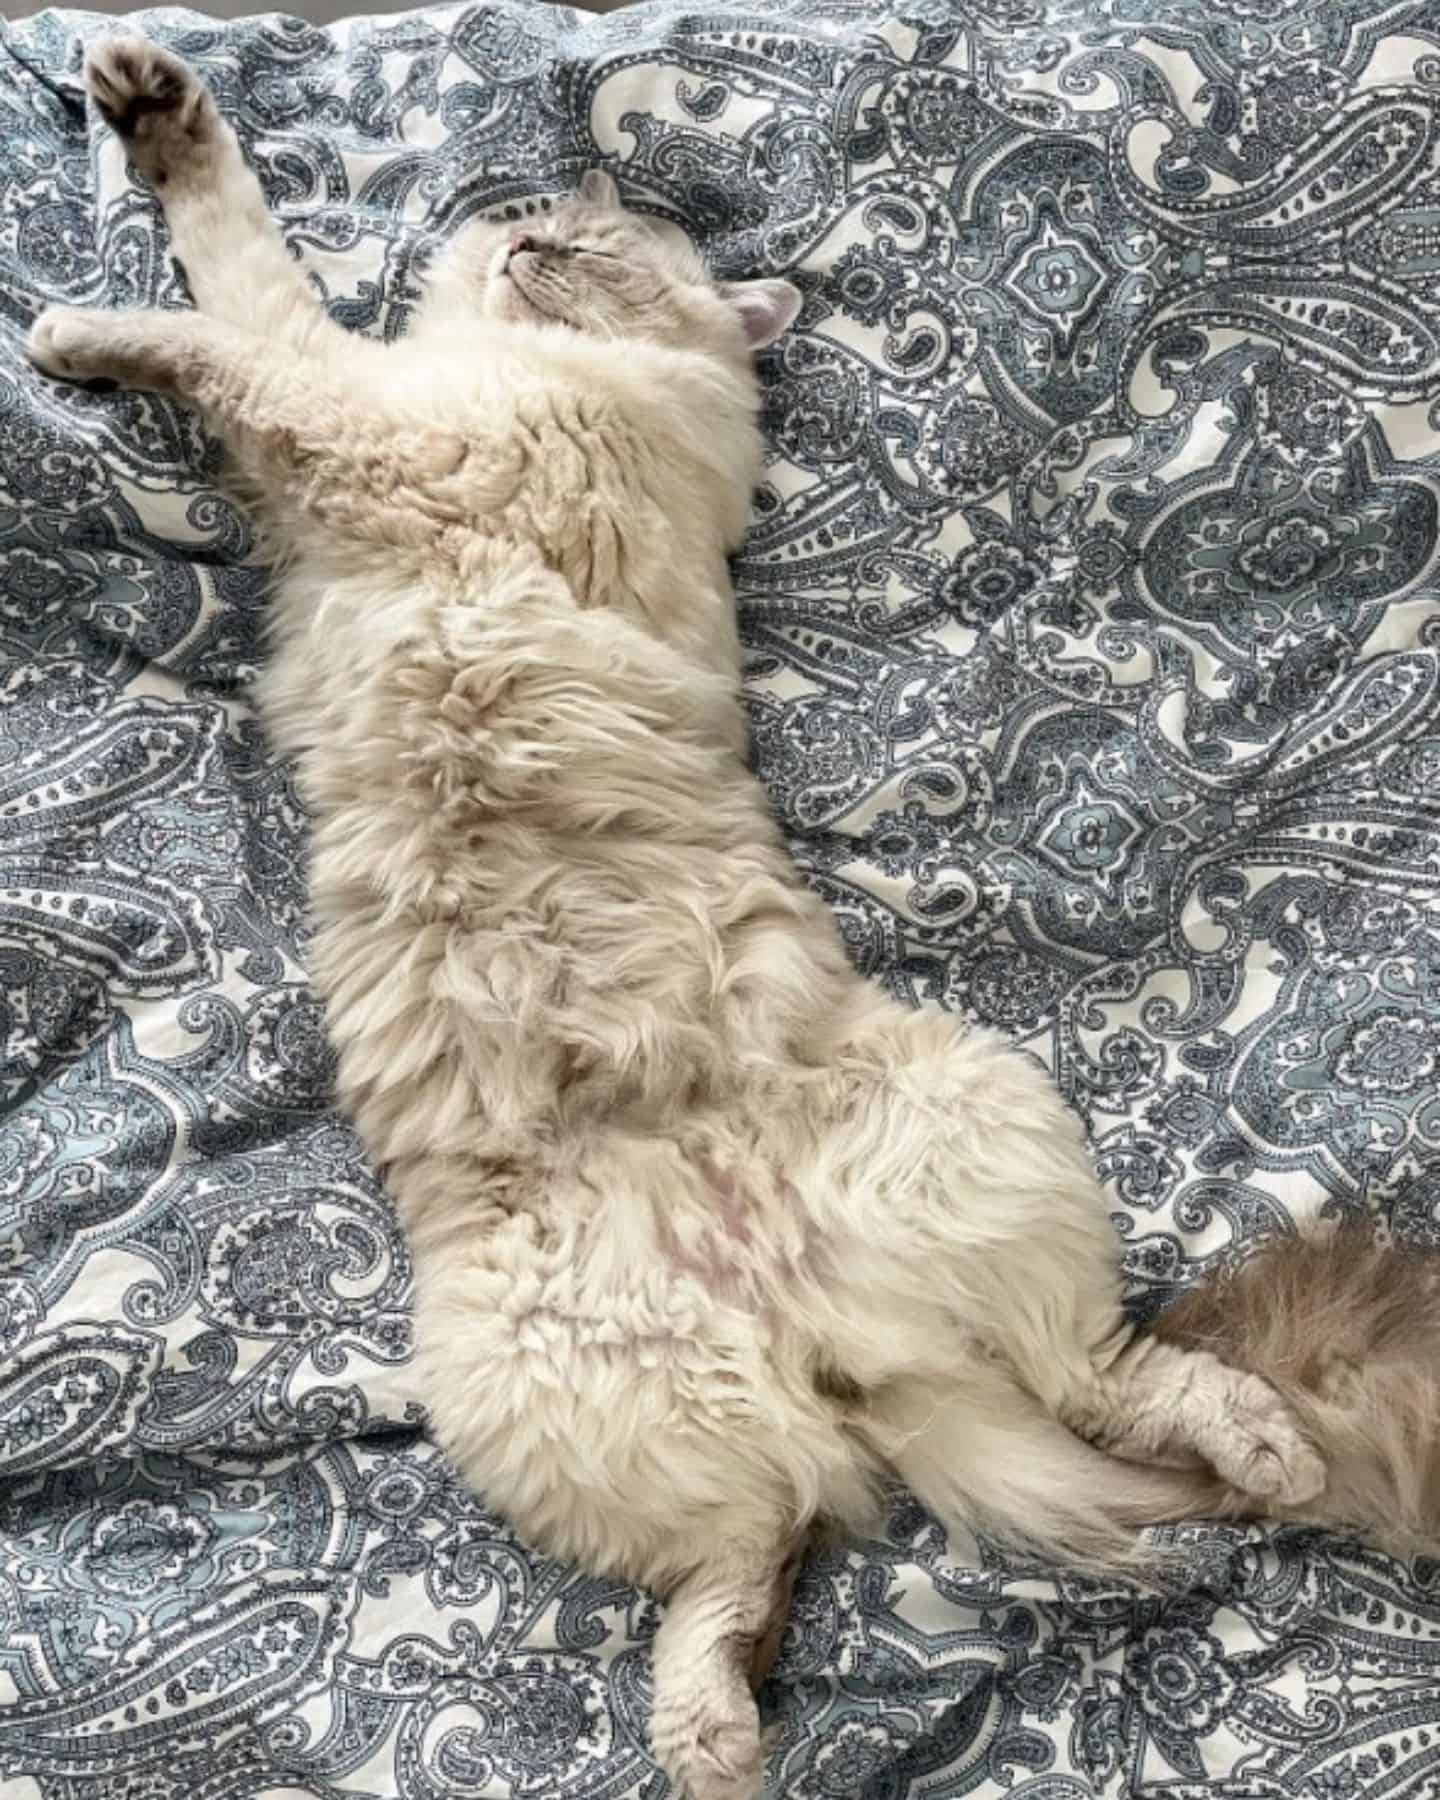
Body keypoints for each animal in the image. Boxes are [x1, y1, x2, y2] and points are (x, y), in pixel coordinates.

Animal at [28, 35, 1368, 1792]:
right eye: (536, 230)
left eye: (601, 253)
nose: (531, 240)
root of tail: (821, 1328)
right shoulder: (363, 433)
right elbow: (240, 263)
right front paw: (146, 108)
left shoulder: (362, 424)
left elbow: (229, 315)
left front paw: (79, 303)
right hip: (607, 1398)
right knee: (767, 1549)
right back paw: (718, 1731)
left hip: (959, 1170)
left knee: (1077, 1394)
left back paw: (1265, 1457)